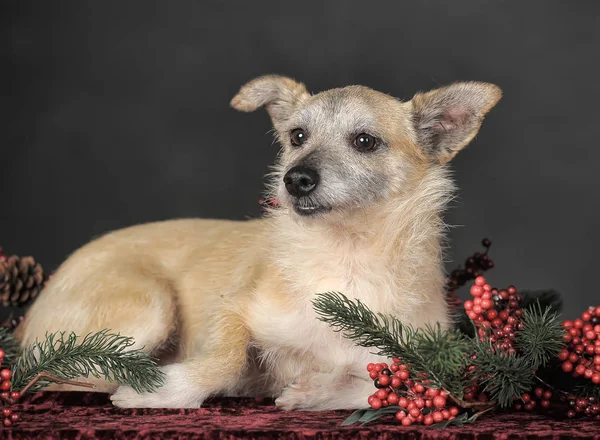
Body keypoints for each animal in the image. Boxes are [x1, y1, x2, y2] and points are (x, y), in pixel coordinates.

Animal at [15, 75, 502, 410]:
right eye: (297, 137)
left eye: (365, 141)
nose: (296, 179)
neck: (345, 259)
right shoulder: (232, 310)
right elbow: (226, 357)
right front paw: (164, 390)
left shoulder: (434, 364)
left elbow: (387, 385)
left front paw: (314, 391)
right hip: (149, 304)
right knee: (52, 372)